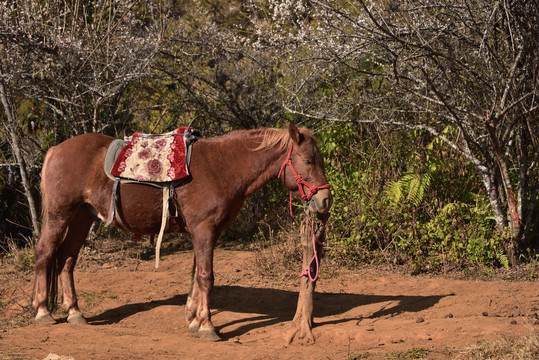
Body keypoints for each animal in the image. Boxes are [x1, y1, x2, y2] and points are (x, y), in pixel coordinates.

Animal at [33, 122, 332, 342]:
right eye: (307, 160)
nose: (325, 200)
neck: (224, 168)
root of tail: (56, 150)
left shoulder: (207, 232)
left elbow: (195, 274)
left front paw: (194, 319)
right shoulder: (204, 230)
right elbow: (206, 277)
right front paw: (208, 326)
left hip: (82, 217)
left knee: (66, 259)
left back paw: (74, 312)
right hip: (60, 215)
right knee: (45, 253)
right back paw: (43, 311)